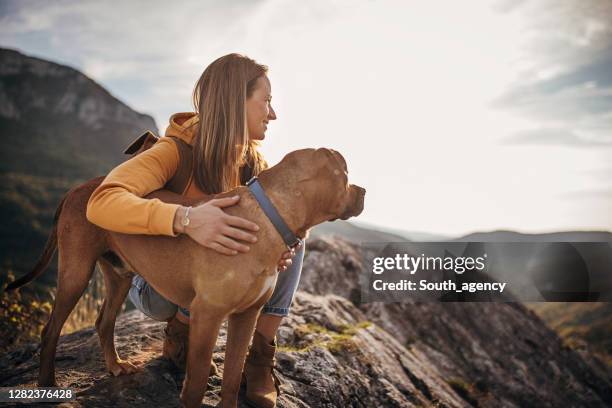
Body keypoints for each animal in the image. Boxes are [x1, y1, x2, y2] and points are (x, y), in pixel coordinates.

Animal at [8, 147, 364, 408]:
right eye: (346, 175)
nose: (364, 189)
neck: (269, 215)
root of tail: (76, 189)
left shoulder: (245, 316)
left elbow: (232, 376)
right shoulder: (208, 315)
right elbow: (197, 381)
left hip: (119, 274)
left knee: (103, 322)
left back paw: (115, 365)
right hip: (76, 271)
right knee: (51, 329)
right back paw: (47, 384)